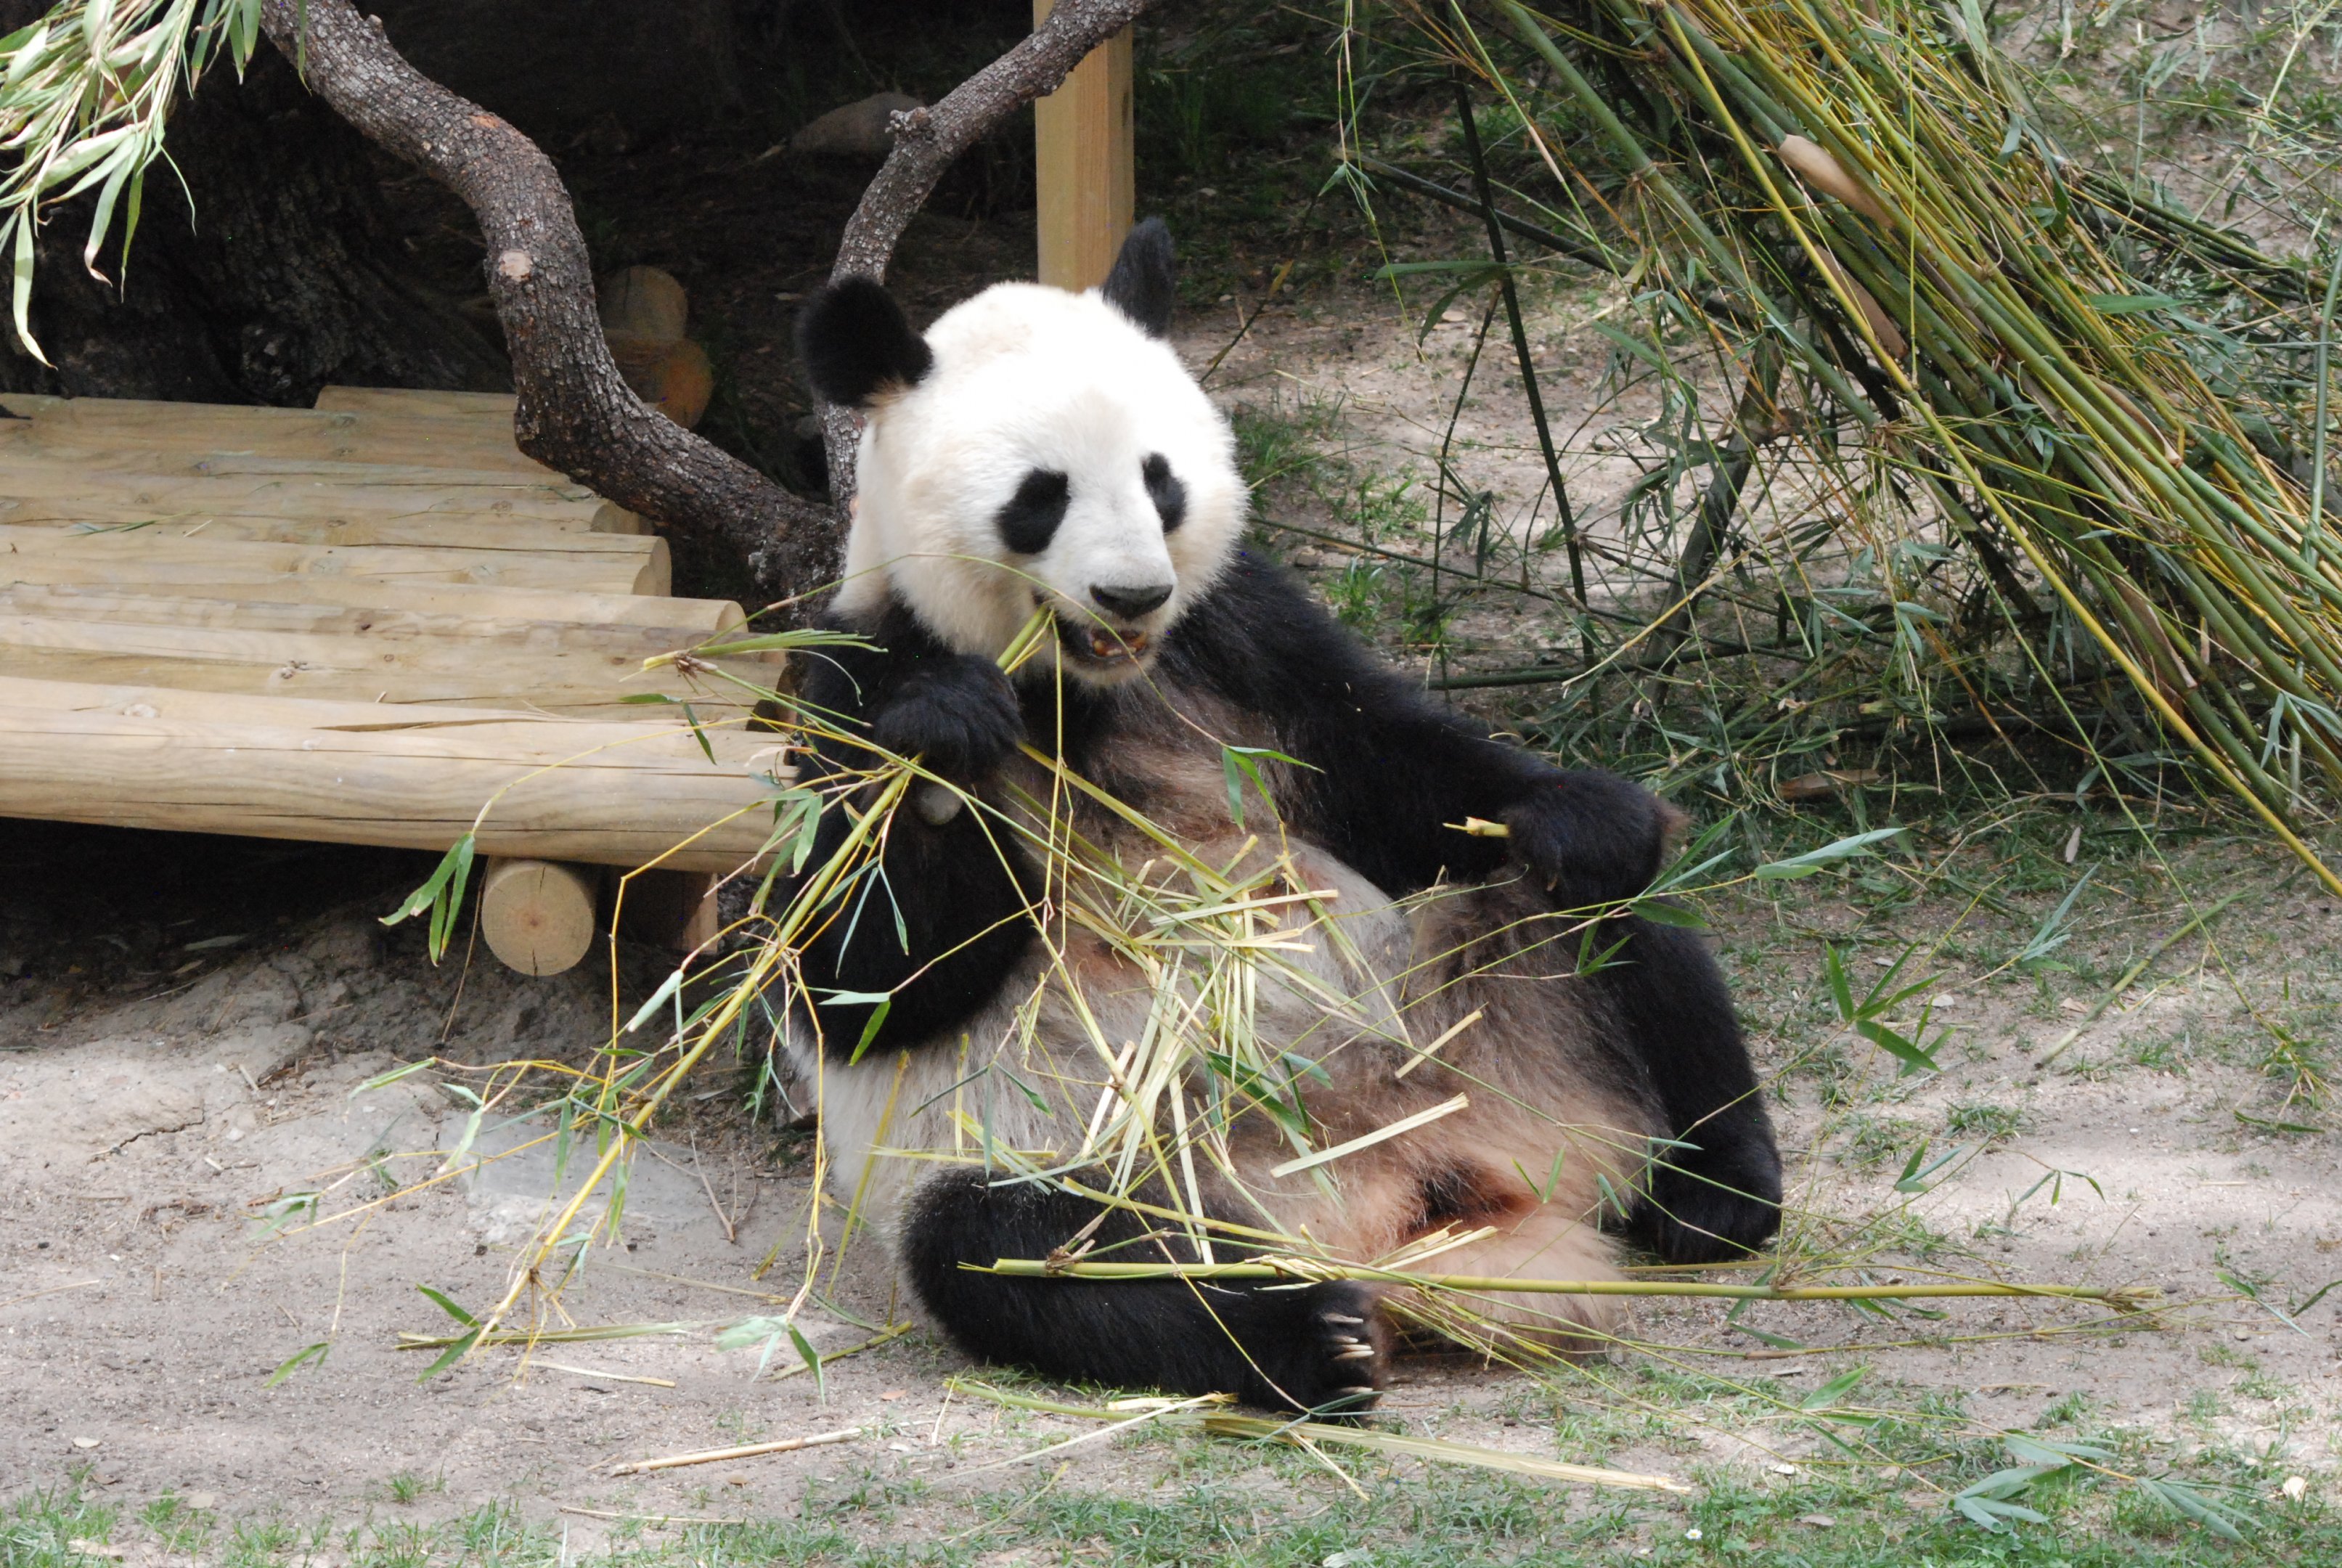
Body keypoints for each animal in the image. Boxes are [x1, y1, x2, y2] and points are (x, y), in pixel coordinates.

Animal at [782, 220, 1780, 1416]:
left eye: (1159, 479)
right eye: (1041, 495)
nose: (1132, 596)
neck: (1079, 687)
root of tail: (1401, 1201)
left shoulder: (1240, 632)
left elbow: (1392, 763)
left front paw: (1577, 814)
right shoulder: (846, 675)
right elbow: (857, 983)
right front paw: (946, 738)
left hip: (1472, 1011)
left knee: (1609, 921)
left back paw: (1712, 1191)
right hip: (1116, 1164)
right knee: (1017, 1254)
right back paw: (1318, 1337)